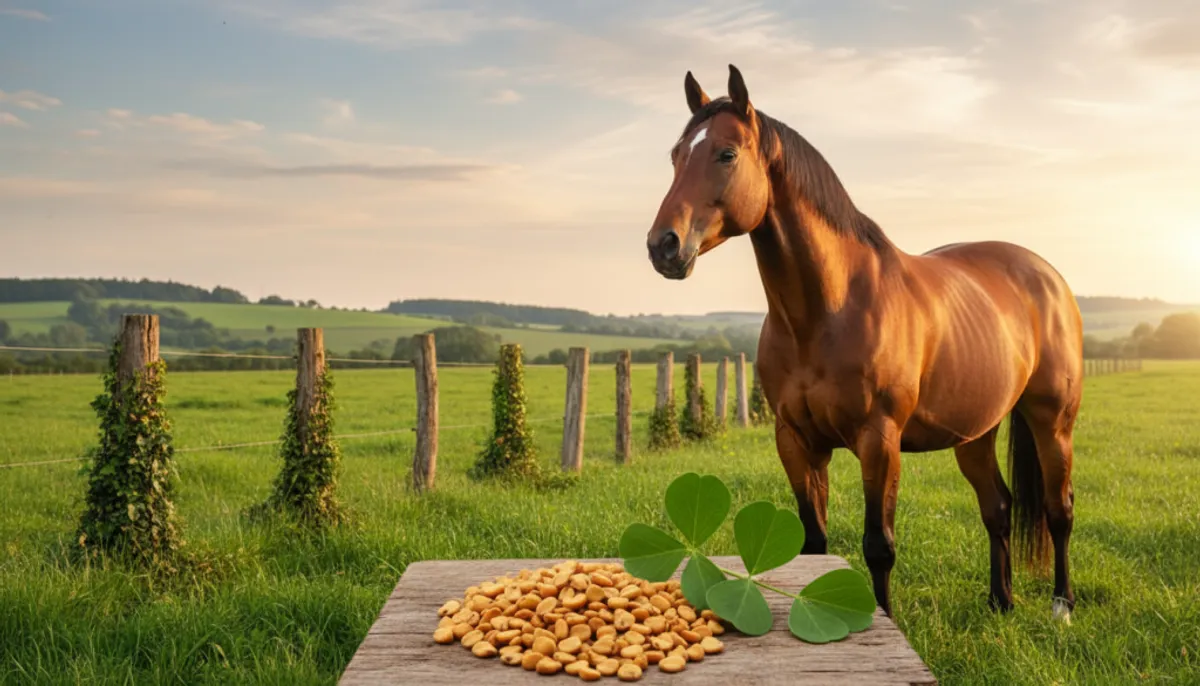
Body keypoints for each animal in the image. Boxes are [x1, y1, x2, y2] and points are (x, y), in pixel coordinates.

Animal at [644, 65, 1082, 621]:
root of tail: (1046, 275)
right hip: (975, 433)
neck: (825, 312)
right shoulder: (797, 442)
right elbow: (813, 544)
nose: (663, 246)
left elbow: (879, 545)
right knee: (998, 507)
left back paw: (1061, 606)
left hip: (1053, 422)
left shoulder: (879, 441)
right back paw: (999, 601)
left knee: (1058, 509)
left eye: (726, 153)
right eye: (677, 155)